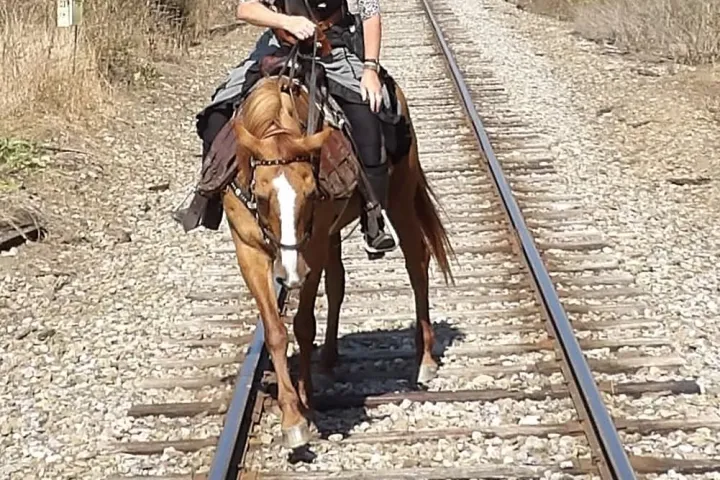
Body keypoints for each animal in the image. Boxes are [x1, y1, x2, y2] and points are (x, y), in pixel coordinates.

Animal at [221, 75, 455, 449]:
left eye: (310, 193)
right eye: (260, 195)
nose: (289, 274)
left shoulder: (312, 247)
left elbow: (303, 324)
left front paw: (305, 404)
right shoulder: (248, 250)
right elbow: (275, 331)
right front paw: (292, 415)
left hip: (399, 197)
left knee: (417, 262)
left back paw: (425, 359)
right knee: (337, 284)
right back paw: (329, 358)